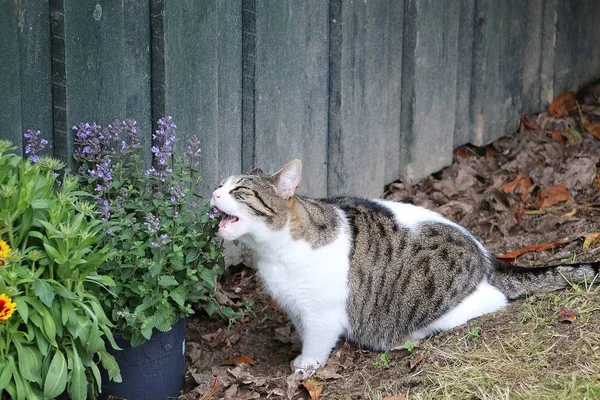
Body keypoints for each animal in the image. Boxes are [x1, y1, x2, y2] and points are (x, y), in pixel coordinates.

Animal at [210, 159, 596, 372]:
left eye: (240, 191)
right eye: (220, 184)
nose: (213, 193)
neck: (273, 250)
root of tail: (489, 258)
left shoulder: (322, 312)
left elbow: (318, 342)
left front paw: (307, 365)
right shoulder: (296, 307)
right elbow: (305, 332)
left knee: (493, 301)